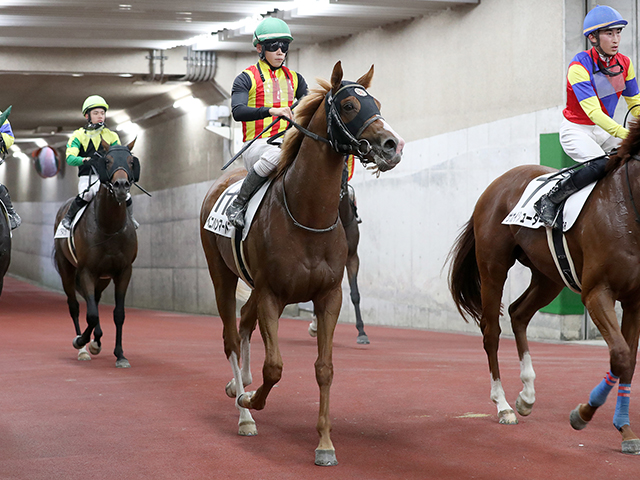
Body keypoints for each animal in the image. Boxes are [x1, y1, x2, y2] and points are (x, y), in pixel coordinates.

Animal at [54, 140, 138, 368]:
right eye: (107, 160)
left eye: (131, 160)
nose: (121, 186)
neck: (108, 226)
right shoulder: (86, 271)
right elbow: (91, 314)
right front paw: (82, 341)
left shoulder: (123, 272)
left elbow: (118, 314)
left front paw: (120, 354)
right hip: (67, 270)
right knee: (75, 306)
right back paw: (83, 348)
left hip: (103, 278)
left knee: (96, 302)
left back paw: (95, 341)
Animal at [200, 61, 404, 466]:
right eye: (349, 106)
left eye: (376, 103)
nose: (392, 145)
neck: (307, 212)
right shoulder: (271, 295)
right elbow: (275, 367)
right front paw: (251, 401)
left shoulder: (328, 296)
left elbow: (324, 369)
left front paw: (324, 444)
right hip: (221, 275)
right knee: (231, 336)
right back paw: (244, 412)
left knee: (243, 325)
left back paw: (238, 384)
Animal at [447, 121, 640, 455]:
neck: (627, 209)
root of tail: (496, 184)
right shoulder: (597, 293)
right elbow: (620, 355)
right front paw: (583, 413)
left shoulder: (635, 299)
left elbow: (627, 362)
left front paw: (625, 430)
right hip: (493, 267)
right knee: (491, 331)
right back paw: (503, 406)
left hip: (549, 277)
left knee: (518, 313)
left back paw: (527, 396)